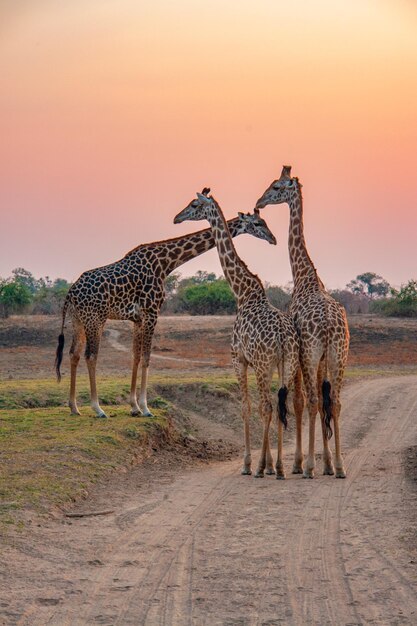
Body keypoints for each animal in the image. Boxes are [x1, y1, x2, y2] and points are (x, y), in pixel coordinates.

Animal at [54, 188, 272, 416]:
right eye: (258, 223)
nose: (272, 238)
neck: (166, 263)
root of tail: (70, 293)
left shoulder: (138, 318)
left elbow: (136, 356)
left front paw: (134, 407)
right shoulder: (152, 312)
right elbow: (147, 357)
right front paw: (145, 407)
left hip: (78, 320)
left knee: (74, 354)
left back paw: (74, 407)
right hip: (95, 319)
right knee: (90, 355)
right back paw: (97, 408)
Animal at [172, 193, 300, 476]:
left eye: (194, 205)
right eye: (259, 223)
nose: (177, 217)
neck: (243, 292)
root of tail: (284, 338)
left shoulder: (238, 359)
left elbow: (245, 407)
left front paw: (248, 463)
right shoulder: (261, 364)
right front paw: (268, 464)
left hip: (264, 365)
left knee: (267, 407)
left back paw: (263, 467)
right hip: (287, 364)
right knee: (284, 405)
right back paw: (280, 467)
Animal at [255, 163, 350, 476]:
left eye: (275, 186)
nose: (259, 202)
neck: (304, 276)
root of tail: (331, 326)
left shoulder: (300, 353)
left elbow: (297, 401)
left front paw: (298, 462)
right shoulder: (320, 359)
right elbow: (323, 402)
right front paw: (328, 462)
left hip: (311, 354)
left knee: (311, 401)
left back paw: (308, 466)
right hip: (339, 355)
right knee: (334, 402)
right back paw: (340, 466)